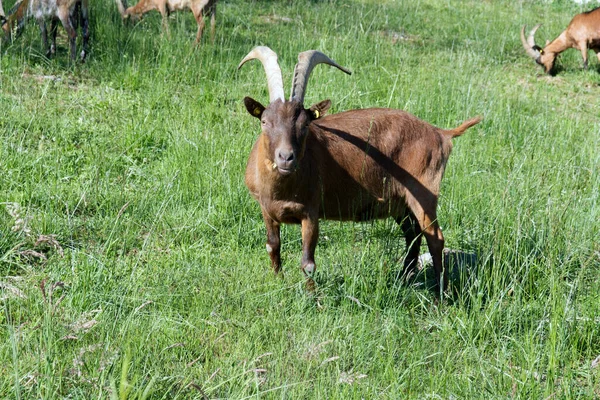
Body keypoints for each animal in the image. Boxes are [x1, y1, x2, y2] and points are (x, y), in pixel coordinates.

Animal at [239, 47, 482, 292]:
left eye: (305, 124)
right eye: (264, 122)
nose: (286, 157)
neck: (282, 190)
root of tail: (440, 133)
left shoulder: (311, 211)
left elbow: (308, 262)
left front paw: (311, 295)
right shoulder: (266, 209)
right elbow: (273, 246)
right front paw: (277, 282)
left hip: (424, 192)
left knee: (435, 238)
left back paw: (439, 292)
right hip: (401, 203)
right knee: (412, 234)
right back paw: (404, 279)